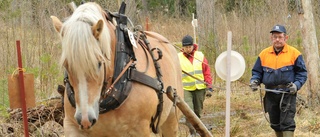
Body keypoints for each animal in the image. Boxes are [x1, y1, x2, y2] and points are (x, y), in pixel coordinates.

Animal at [51, 1, 184, 136]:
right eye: (66, 65)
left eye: (99, 63)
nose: (85, 119)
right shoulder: (72, 126)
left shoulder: (140, 130)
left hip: (171, 120)